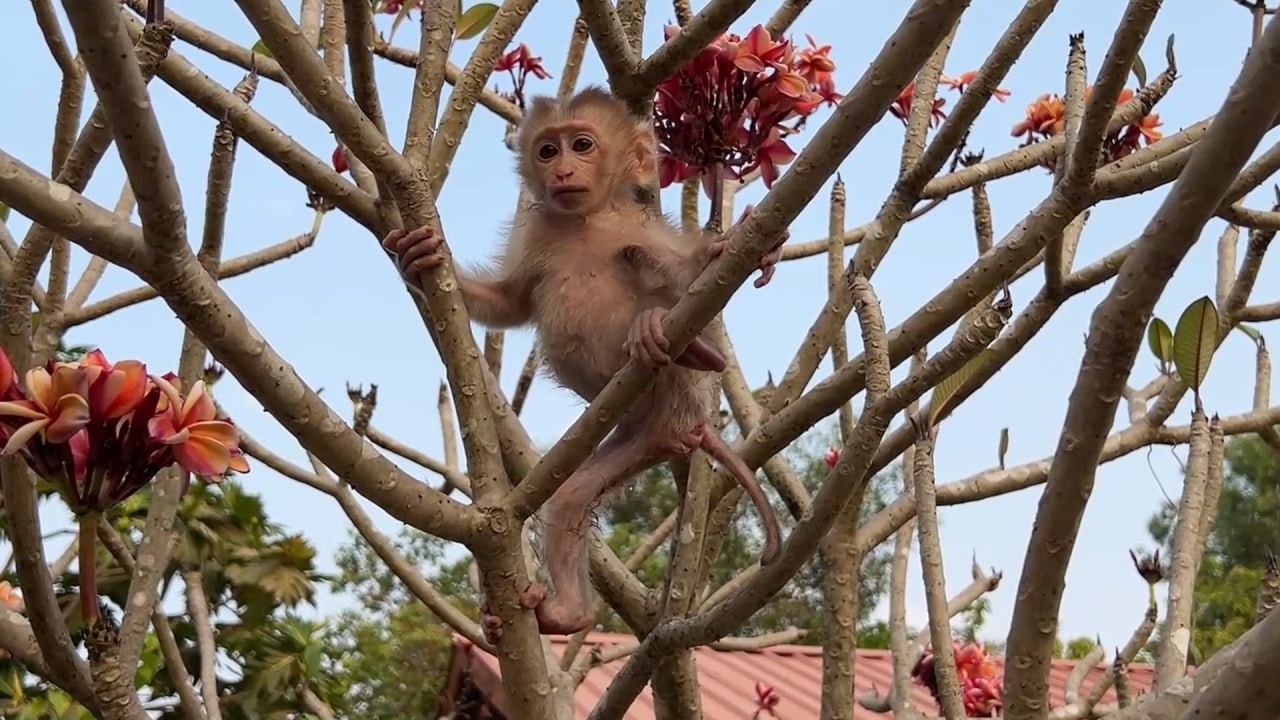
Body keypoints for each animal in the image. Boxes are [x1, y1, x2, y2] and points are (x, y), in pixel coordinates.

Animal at [383, 87, 786, 638]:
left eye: (581, 144)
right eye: (547, 150)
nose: (563, 170)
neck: (585, 220)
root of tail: (690, 427)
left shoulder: (640, 228)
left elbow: (688, 280)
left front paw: (726, 249)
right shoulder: (537, 230)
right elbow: (511, 303)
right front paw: (414, 256)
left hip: (675, 395)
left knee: (659, 287)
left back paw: (684, 344)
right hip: (638, 440)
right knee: (571, 498)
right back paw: (566, 614)